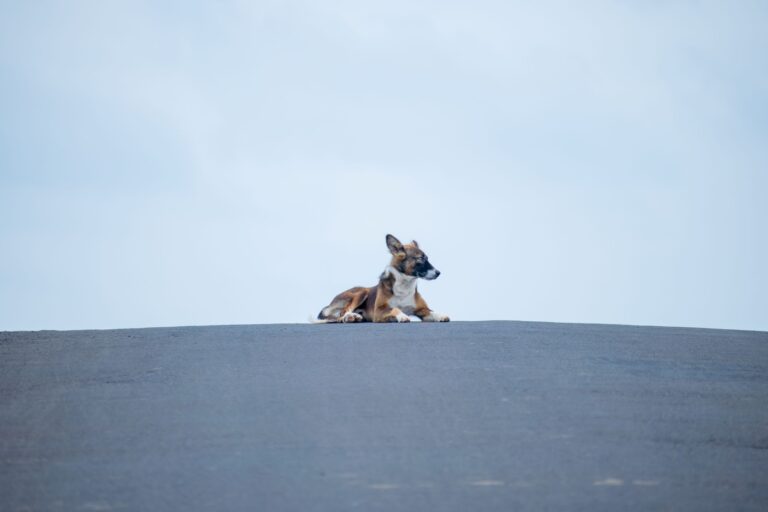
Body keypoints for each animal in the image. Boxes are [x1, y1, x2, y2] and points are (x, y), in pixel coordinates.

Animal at [316, 234, 450, 322]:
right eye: (420, 259)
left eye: (427, 258)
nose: (438, 273)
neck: (404, 285)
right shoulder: (379, 311)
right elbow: (395, 309)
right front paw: (402, 316)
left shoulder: (422, 309)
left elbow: (432, 312)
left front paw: (441, 315)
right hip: (361, 292)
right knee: (343, 312)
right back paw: (349, 317)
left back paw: (355, 316)